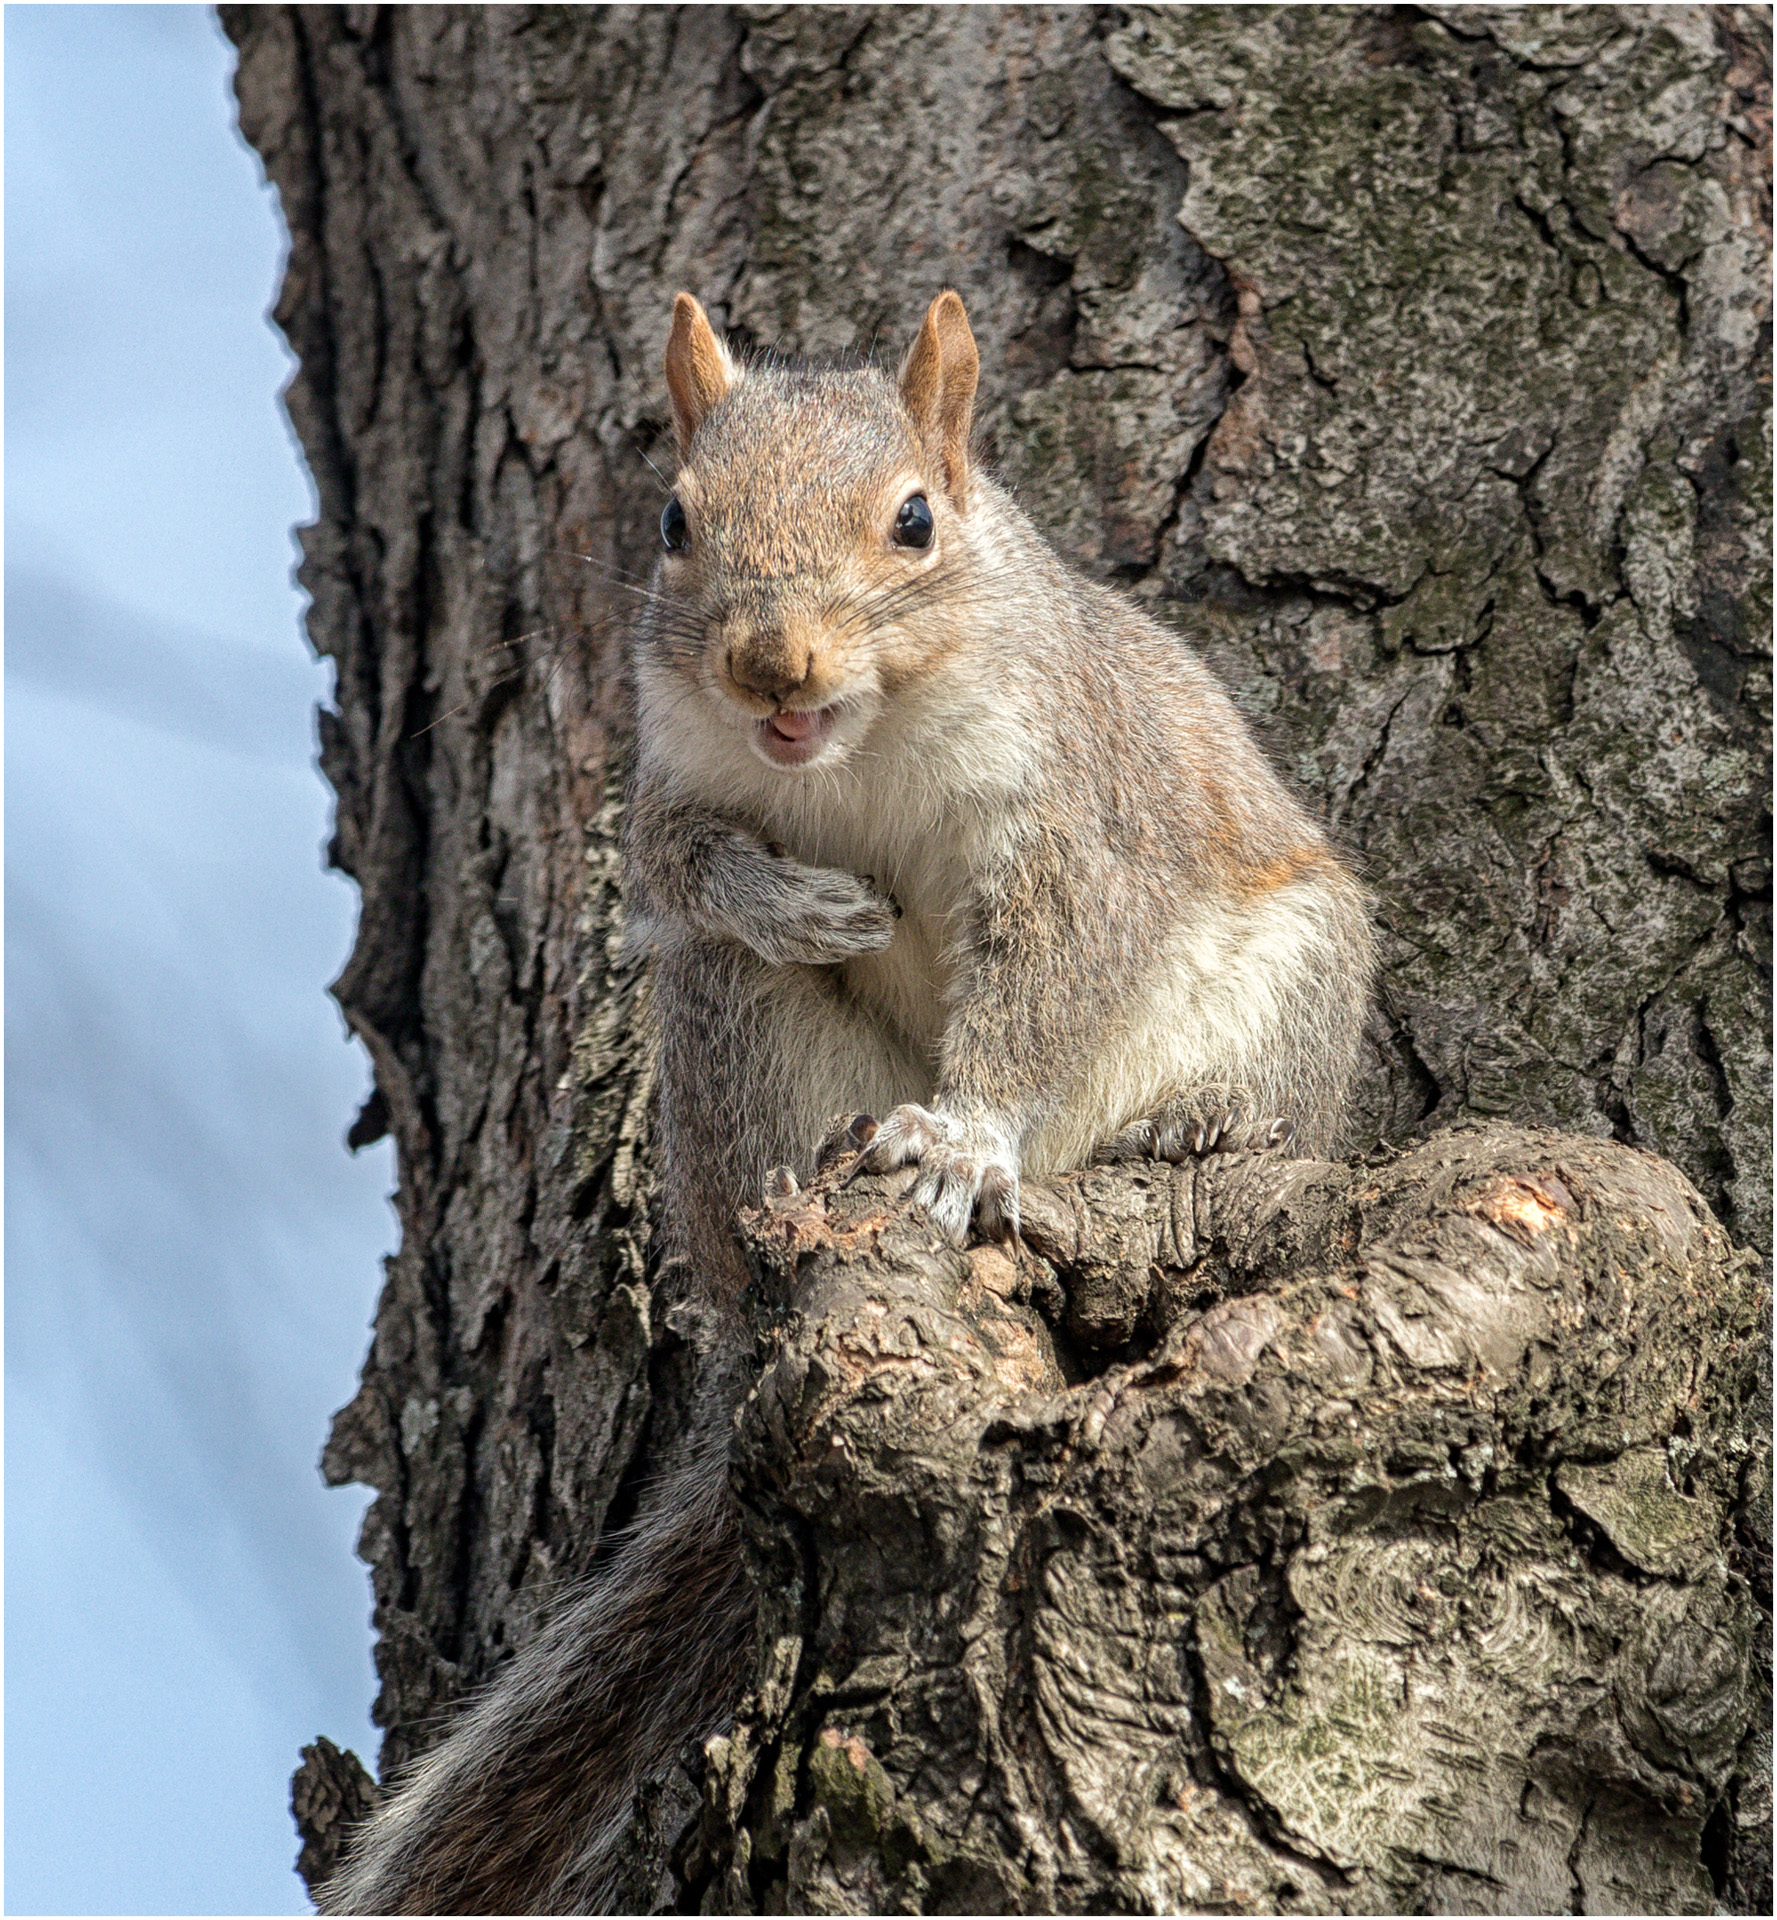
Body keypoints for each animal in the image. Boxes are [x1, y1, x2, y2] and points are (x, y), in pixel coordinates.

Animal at [320, 291, 1374, 1912]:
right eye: (676, 521)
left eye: (915, 520)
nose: (773, 665)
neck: (861, 745)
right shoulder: (670, 780)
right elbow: (684, 863)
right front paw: (806, 905)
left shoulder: (1075, 820)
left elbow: (1049, 971)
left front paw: (965, 1131)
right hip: (732, 1037)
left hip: (1298, 968)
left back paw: (1184, 1124)